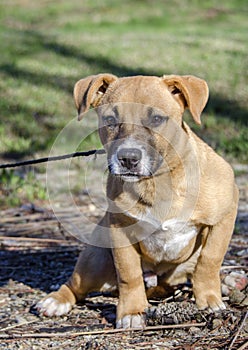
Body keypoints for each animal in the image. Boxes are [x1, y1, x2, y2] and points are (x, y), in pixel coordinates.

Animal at [37, 73, 238, 328]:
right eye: (110, 119)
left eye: (157, 119)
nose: (128, 158)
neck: (158, 182)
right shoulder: (119, 229)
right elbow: (128, 273)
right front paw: (132, 311)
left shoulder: (226, 214)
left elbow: (210, 260)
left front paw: (210, 300)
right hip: (95, 257)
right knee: (76, 285)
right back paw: (56, 301)